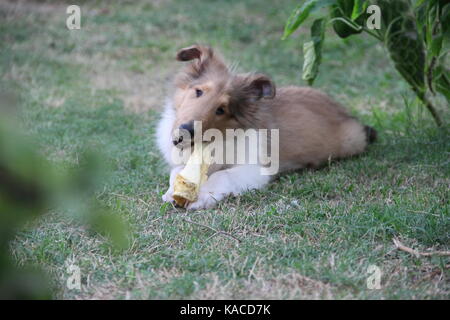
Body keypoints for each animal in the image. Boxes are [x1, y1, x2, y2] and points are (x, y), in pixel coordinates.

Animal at [158, 45, 376, 210]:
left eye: (222, 109)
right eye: (198, 91)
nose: (182, 134)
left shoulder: (256, 169)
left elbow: (223, 174)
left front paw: (202, 196)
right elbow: (177, 171)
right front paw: (172, 192)